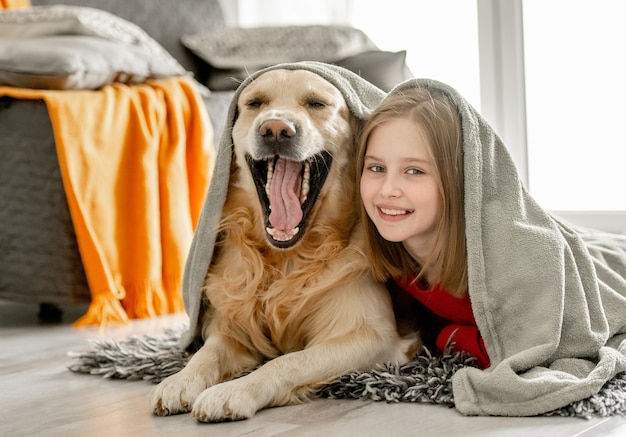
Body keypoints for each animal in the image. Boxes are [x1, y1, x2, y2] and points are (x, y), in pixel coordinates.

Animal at [150, 69, 414, 422]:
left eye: (316, 103)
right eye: (255, 103)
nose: (275, 129)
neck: (285, 259)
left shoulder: (371, 336)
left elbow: (288, 361)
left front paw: (232, 391)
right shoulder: (233, 327)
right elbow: (208, 353)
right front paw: (179, 380)